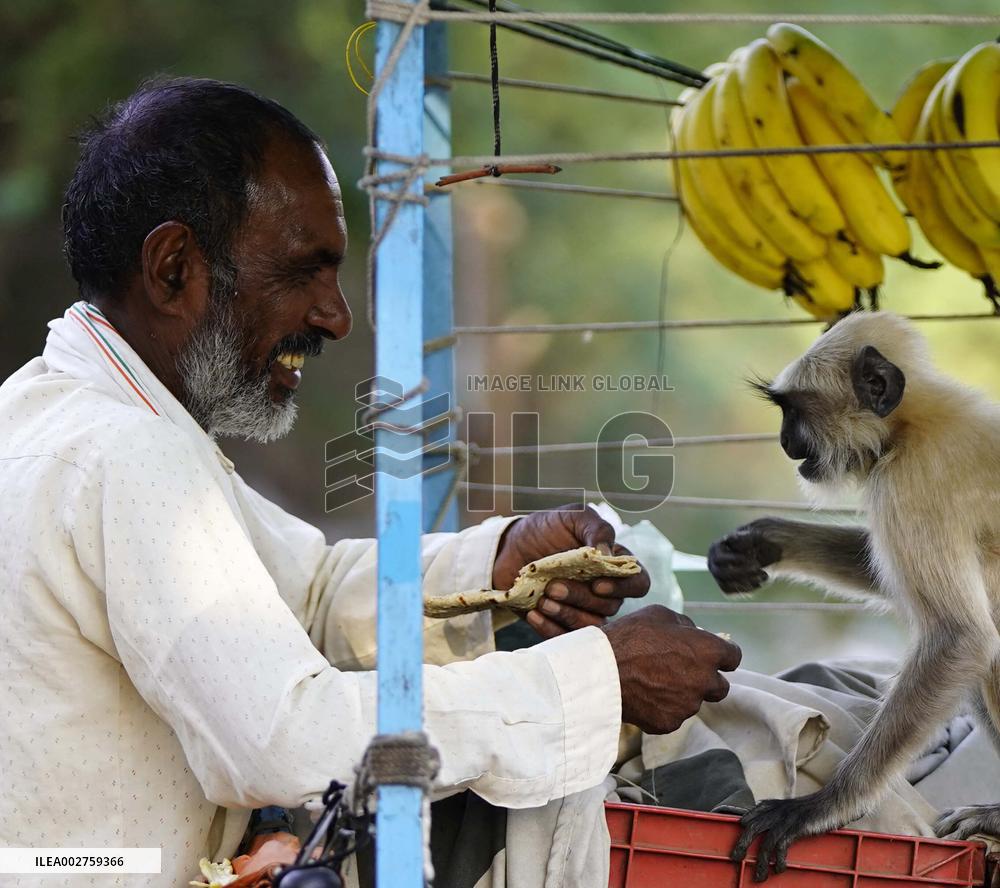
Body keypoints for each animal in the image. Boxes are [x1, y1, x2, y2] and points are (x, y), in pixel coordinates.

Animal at [707, 311, 1000, 882]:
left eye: (793, 412)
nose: (784, 440)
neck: (916, 424)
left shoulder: (914, 482)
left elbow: (960, 638)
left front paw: (819, 809)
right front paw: (761, 542)